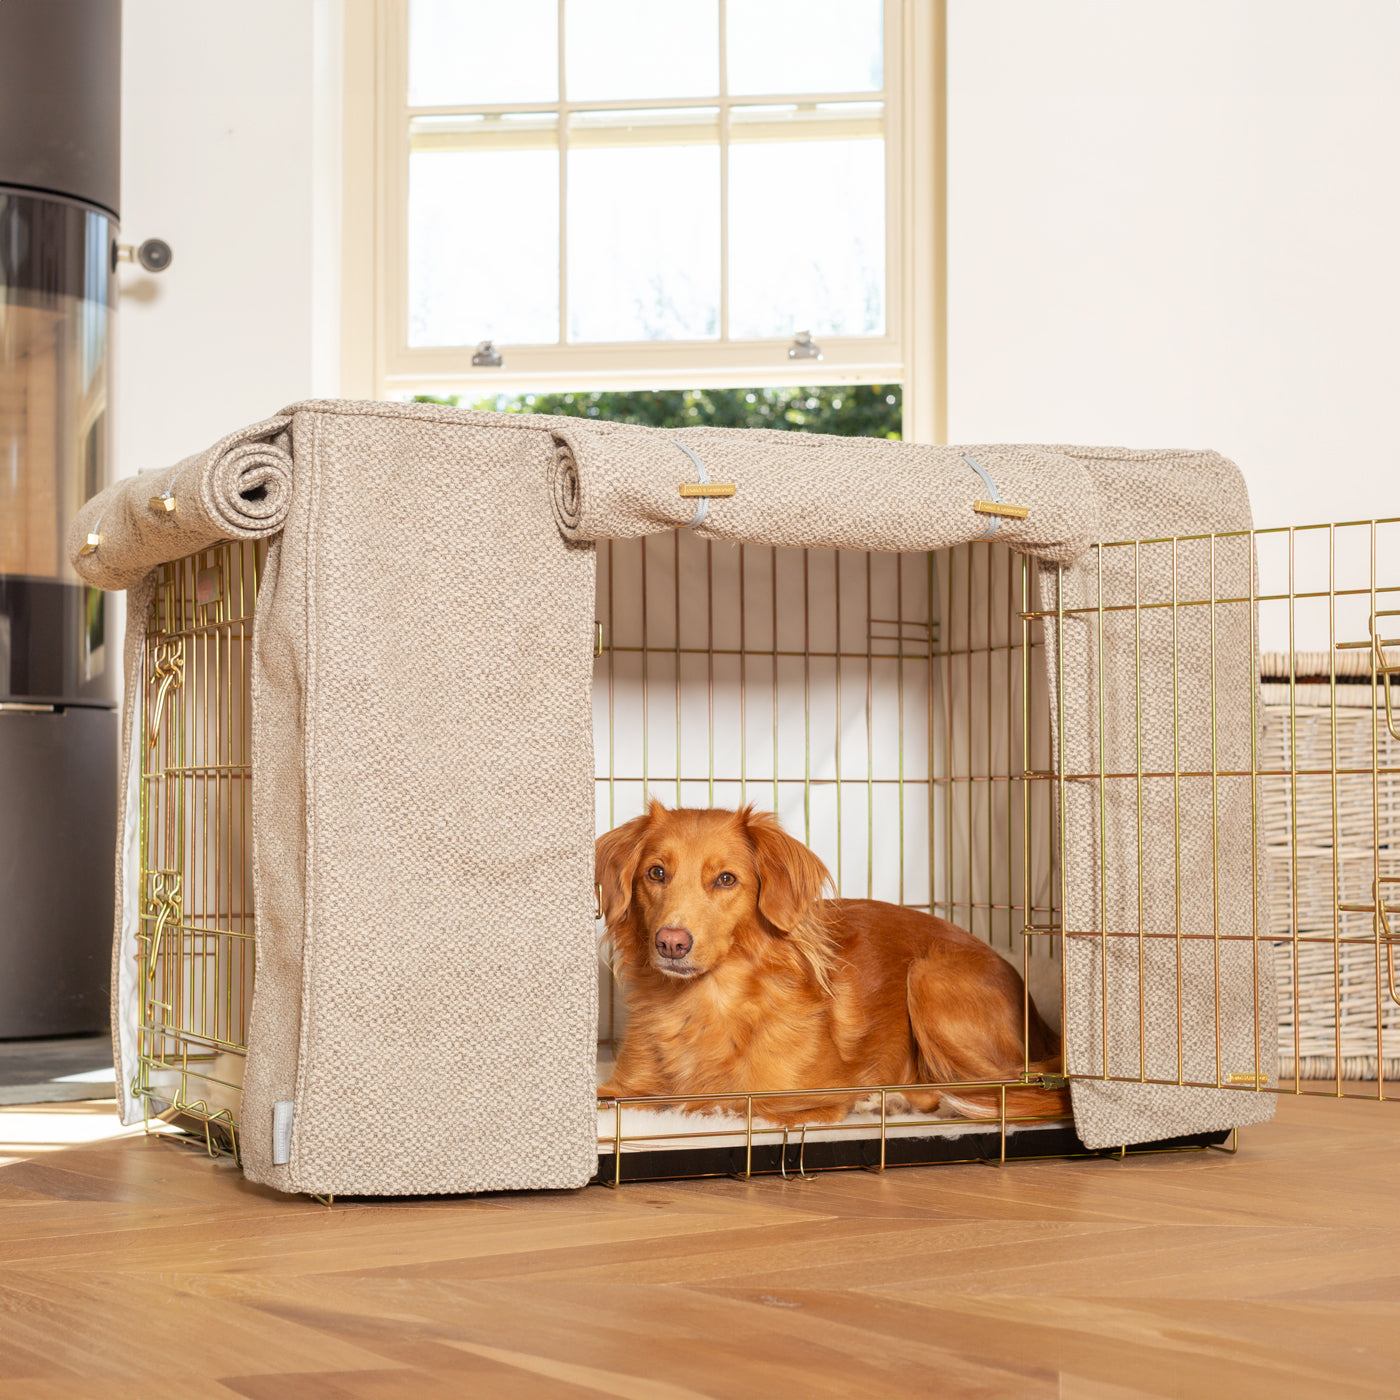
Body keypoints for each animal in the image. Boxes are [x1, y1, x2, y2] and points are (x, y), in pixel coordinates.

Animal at [596, 800, 1064, 1125]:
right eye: (656, 873)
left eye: (726, 879)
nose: (670, 943)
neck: (702, 1003)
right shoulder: (624, 1086)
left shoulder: (798, 1099)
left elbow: (712, 1103)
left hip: (929, 979)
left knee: (998, 1087)